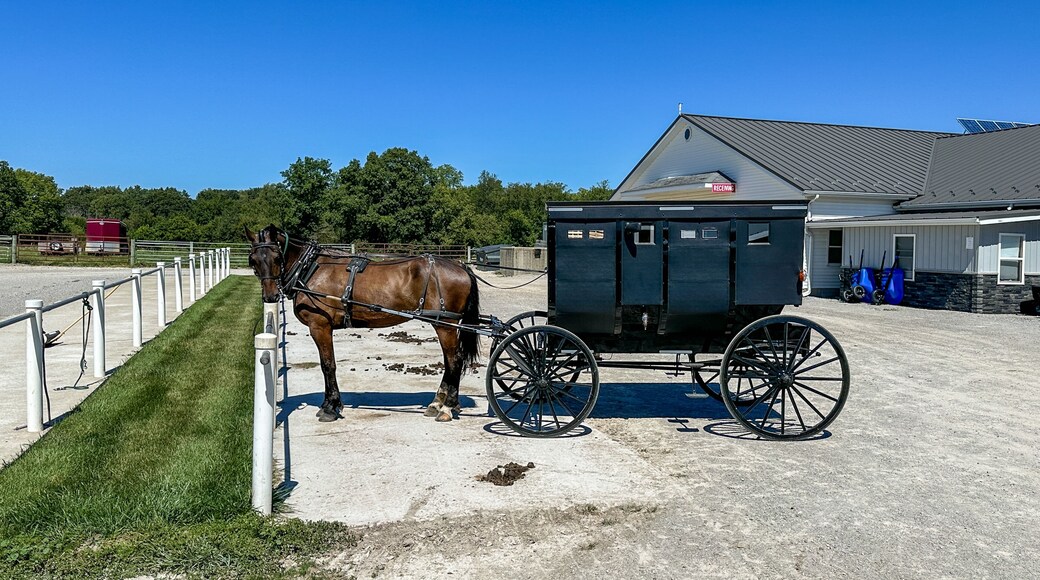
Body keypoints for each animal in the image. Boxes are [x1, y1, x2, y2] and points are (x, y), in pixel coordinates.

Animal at [245, 225, 481, 423]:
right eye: (253, 260)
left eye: (277, 257)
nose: (271, 296)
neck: (311, 269)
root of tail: (461, 266)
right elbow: (326, 364)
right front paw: (330, 404)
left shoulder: (320, 326)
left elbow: (328, 365)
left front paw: (330, 407)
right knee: (450, 361)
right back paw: (437, 403)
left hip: (446, 325)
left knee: (455, 360)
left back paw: (447, 407)